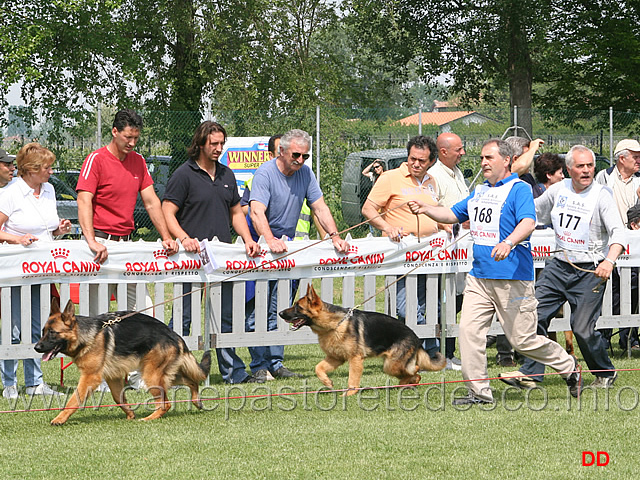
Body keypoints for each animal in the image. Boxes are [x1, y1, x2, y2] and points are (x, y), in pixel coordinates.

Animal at [35, 298, 211, 426]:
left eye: (53, 333)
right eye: (43, 332)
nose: (36, 347)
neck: (87, 335)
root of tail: (175, 335)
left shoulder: (90, 377)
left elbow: (74, 399)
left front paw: (60, 418)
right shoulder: (113, 377)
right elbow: (118, 398)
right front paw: (130, 414)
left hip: (151, 376)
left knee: (165, 404)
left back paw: (149, 418)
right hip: (164, 374)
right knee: (192, 381)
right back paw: (196, 401)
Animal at [280, 284, 444, 394]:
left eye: (298, 307)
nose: (280, 313)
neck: (335, 324)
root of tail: (416, 337)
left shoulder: (355, 359)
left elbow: (352, 379)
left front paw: (349, 394)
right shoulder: (336, 358)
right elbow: (318, 368)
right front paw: (327, 382)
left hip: (391, 365)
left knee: (414, 370)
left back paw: (403, 383)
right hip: (391, 366)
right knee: (415, 375)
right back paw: (406, 384)